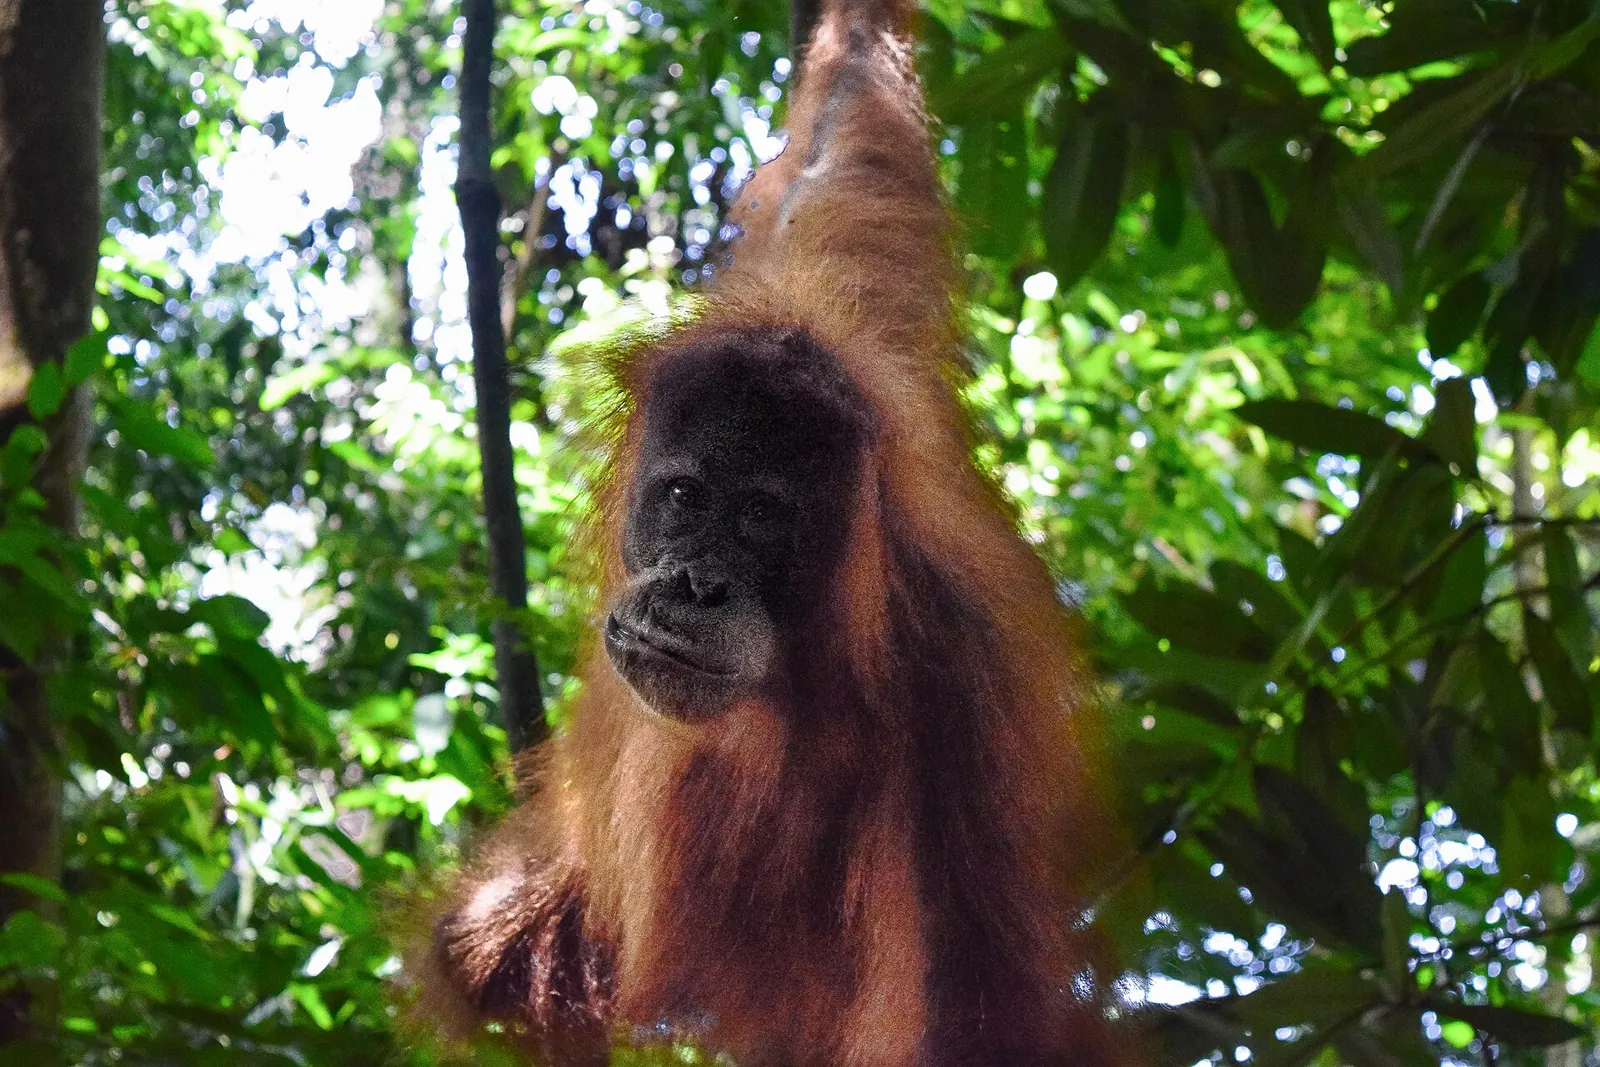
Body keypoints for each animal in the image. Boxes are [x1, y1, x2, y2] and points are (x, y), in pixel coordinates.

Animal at [421, 1, 1126, 1064]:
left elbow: (974, 1012)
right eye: (684, 498)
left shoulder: (961, 692)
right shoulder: (833, 279)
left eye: (760, 520)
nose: (695, 584)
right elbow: (844, 137)